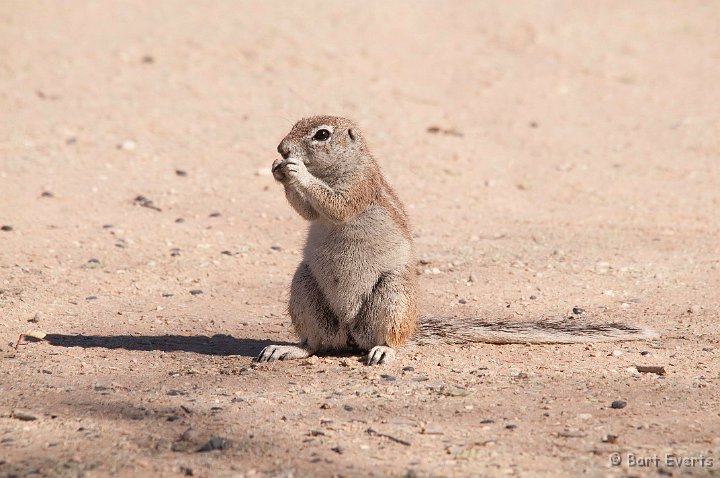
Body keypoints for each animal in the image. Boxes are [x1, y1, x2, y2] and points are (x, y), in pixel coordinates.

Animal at [256, 116, 656, 366]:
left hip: (391, 296)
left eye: (322, 134)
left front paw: (295, 170)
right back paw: (289, 350)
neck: (346, 164)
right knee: (319, 345)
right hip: (305, 289)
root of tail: (352, 335)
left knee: (387, 340)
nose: (281, 147)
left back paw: (384, 351)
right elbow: (308, 212)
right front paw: (279, 170)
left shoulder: (358, 188)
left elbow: (334, 205)